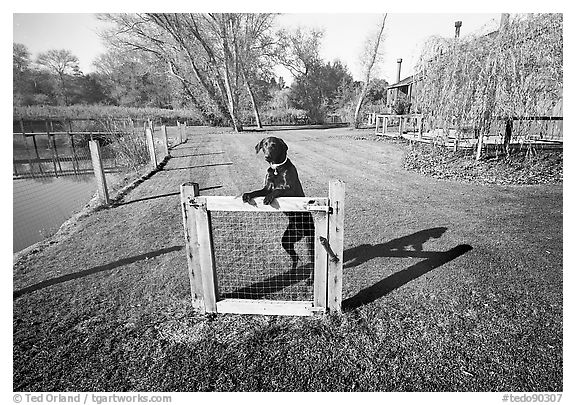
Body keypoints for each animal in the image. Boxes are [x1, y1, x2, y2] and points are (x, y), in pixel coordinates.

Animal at [243, 137, 316, 268]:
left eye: (274, 145)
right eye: (264, 145)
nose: (267, 156)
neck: (276, 168)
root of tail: (300, 232)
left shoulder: (290, 189)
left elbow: (278, 189)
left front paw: (268, 197)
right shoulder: (266, 187)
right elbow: (256, 191)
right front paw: (247, 194)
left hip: (309, 240)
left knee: (312, 261)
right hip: (287, 240)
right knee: (295, 257)